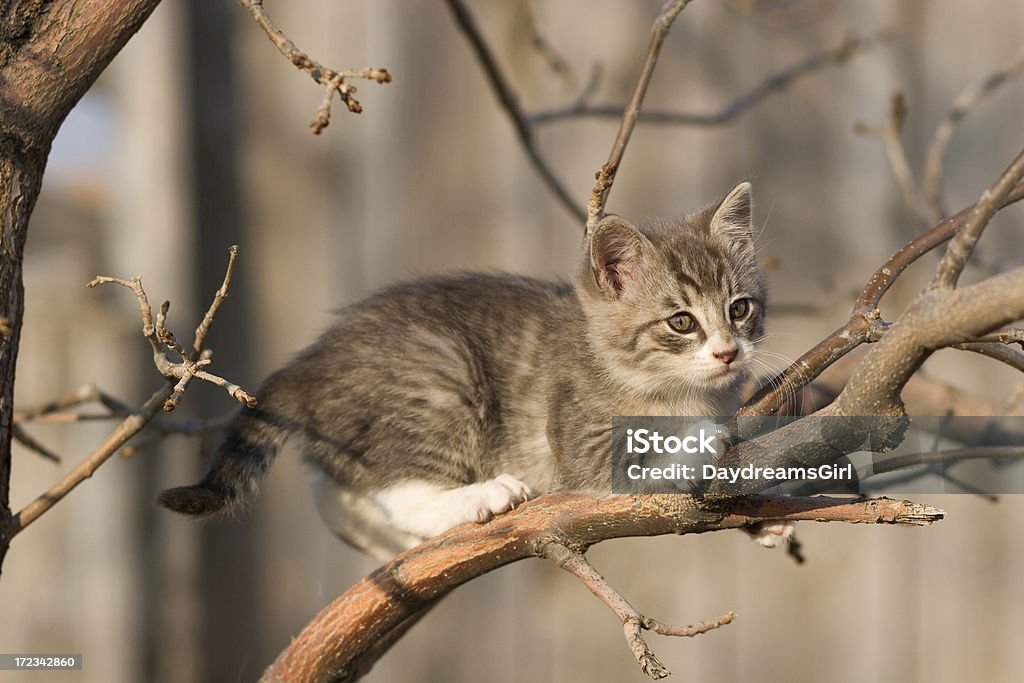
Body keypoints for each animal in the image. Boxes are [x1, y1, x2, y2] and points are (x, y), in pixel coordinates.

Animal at [159, 181, 770, 561]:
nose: (727, 353)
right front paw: (704, 439)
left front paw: (767, 521)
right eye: (682, 322)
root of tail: (312, 360)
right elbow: (628, 462)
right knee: (396, 485)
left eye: (739, 309)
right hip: (440, 375)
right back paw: (478, 497)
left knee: (334, 489)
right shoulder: (580, 441)